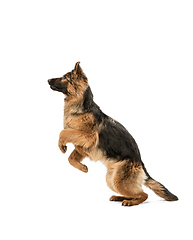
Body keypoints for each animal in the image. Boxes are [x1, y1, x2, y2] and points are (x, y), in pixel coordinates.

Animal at [47, 62, 178, 206]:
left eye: (65, 77)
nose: (48, 80)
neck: (82, 107)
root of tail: (141, 163)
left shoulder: (88, 137)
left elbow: (63, 132)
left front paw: (61, 145)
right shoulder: (82, 147)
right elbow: (71, 158)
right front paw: (83, 168)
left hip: (119, 182)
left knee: (144, 194)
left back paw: (130, 202)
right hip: (111, 180)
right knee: (134, 193)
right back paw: (119, 198)